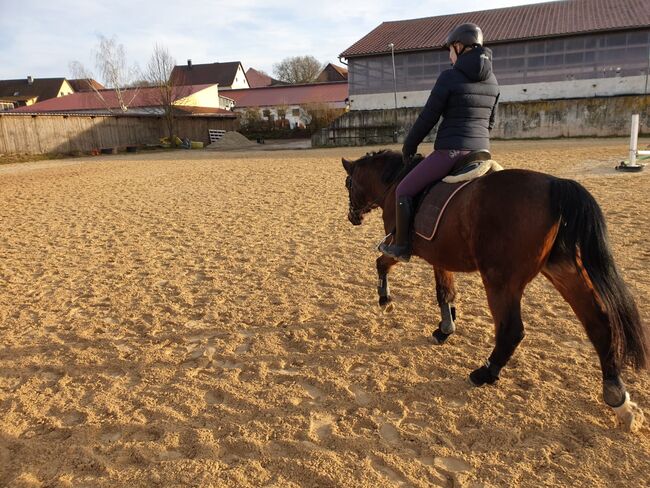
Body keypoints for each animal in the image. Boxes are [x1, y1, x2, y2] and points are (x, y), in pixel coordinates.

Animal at [342, 150, 644, 430]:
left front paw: (385, 299)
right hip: (563, 269)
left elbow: (381, 263)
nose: (352, 217)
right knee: (598, 323)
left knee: (512, 329)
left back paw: (485, 373)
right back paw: (619, 399)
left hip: (500, 280)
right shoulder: (440, 257)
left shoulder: (400, 247)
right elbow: (444, 292)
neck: (395, 180)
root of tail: (555, 184)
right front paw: (445, 328)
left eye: (348, 183)